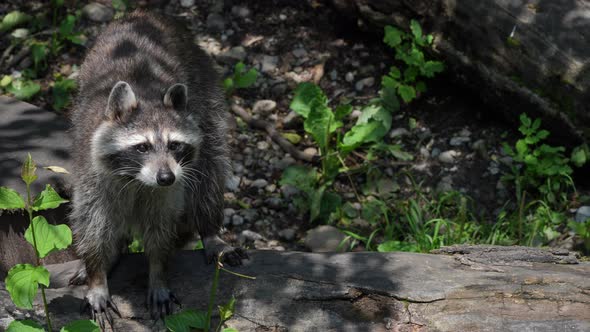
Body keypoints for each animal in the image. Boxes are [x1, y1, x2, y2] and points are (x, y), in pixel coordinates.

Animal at [69, 11, 247, 326]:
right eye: (142, 147)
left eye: (175, 145)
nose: (166, 177)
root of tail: (144, 14)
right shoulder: (91, 174)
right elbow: (92, 224)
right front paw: (97, 274)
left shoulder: (169, 189)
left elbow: (161, 229)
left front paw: (158, 273)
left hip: (207, 94)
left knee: (210, 170)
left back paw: (209, 230)